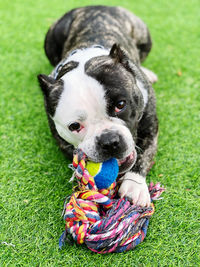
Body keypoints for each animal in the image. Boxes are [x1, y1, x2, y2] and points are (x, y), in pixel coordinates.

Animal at [38, 5, 159, 207]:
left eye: (120, 105)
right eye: (74, 126)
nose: (109, 141)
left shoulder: (151, 128)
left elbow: (144, 155)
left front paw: (134, 186)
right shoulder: (61, 140)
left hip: (144, 36)